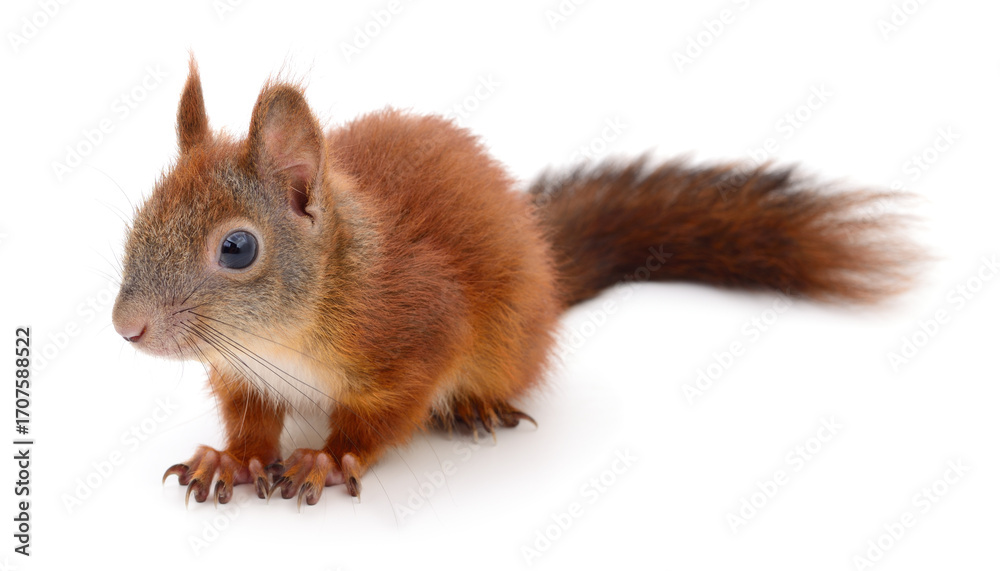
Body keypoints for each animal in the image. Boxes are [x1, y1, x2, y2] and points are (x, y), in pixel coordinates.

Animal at [112, 58, 917, 507]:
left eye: (238, 247)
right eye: (142, 215)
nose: (127, 326)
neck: (284, 335)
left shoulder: (417, 329)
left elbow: (386, 414)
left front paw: (331, 455)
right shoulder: (244, 373)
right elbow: (250, 420)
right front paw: (234, 459)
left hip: (508, 339)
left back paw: (475, 407)